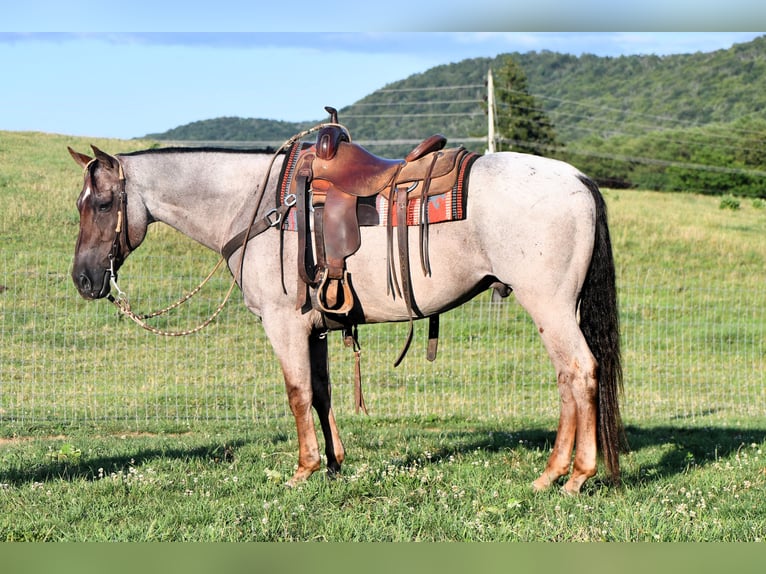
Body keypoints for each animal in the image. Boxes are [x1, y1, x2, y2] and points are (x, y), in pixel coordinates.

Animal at [69, 126, 628, 496]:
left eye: (103, 204)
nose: (84, 279)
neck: (256, 205)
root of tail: (578, 178)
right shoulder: (315, 327)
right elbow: (320, 392)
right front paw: (335, 464)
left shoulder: (284, 323)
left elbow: (296, 393)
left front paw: (304, 469)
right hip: (560, 308)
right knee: (567, 379)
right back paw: (553, 474)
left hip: (550, 305)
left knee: (580, 372)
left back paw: (573, 477)